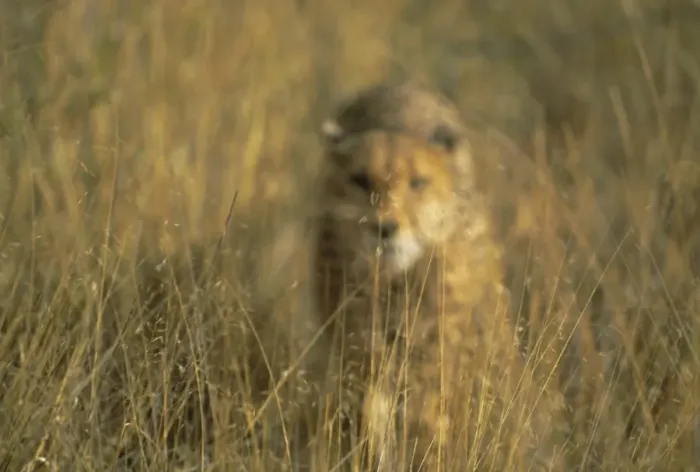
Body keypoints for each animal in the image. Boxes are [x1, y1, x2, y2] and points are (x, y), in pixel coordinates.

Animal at [312, 81, 565, 471]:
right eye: (359, 180)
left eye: (418, 182)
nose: (385, 228)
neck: (397, 279)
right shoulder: (361, 352)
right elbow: (373, 419)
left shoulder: (434, 358)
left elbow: (427, 423)